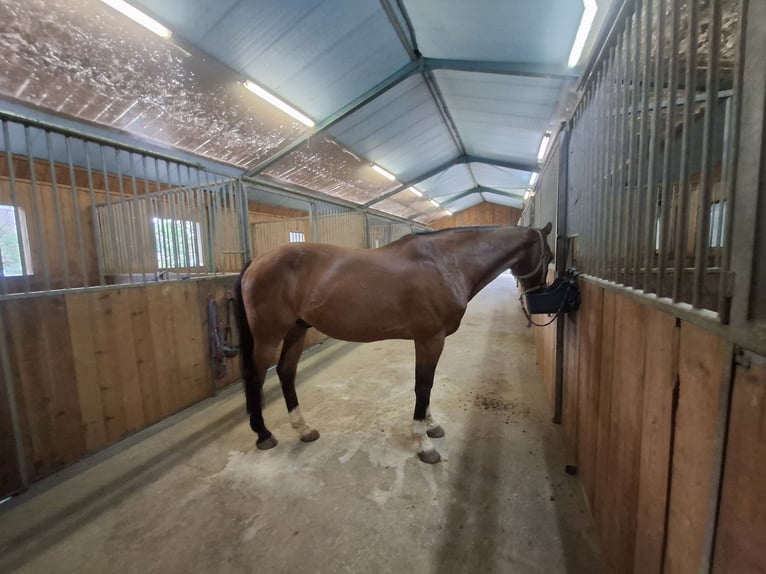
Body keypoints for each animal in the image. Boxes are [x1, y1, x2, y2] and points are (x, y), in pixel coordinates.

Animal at [233, 222, 553, 463]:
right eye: (549, 257)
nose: (538, 299)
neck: (446, 263)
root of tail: (256, 262)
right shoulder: (429, 339)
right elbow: (423, 386)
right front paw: (423, 442)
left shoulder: (429, 341)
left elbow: (427, 385)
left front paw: (431, 425)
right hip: (268, 336)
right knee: (256, 377)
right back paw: (263, 434)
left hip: (296, 330)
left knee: (286, 372)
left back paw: (303, 429)